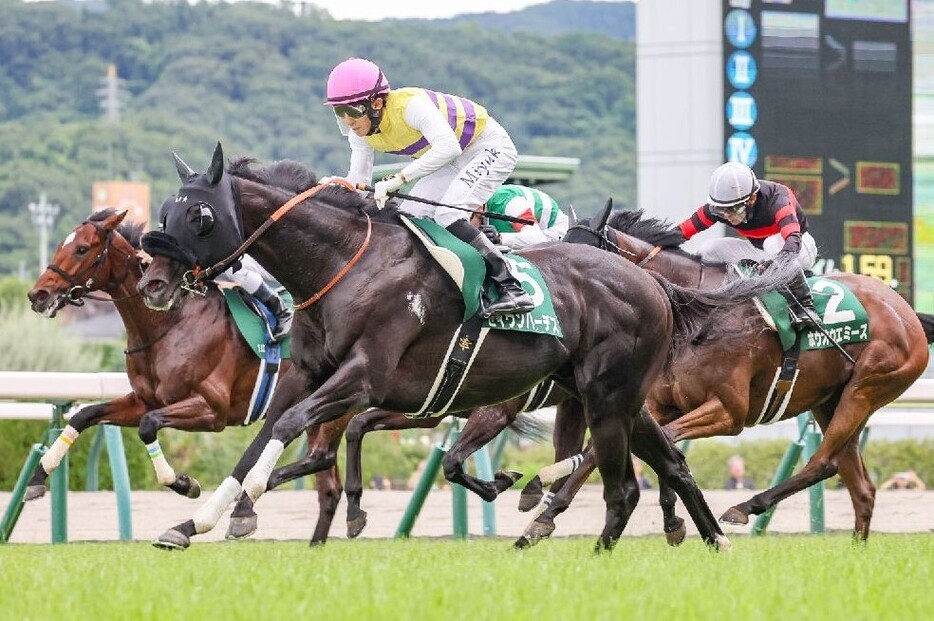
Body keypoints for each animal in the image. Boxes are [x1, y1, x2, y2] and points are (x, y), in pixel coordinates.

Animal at [27, 208, 348, 544]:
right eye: (61, 245)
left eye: (82, 249)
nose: (38, 294)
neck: (169, 322)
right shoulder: (144, 401)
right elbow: (84, 415)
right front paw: (38, 477)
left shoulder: (211, 410)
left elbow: (148, 426)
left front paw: (184, 484)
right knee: (326, 480)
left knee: (322, 458)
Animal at [137, 144, 796, 552]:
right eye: (166, 208)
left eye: (200, 216)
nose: (153, 282)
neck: (345, 265)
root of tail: (653, 283)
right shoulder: (307, 373)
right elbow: (263, 439)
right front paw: (194, 518)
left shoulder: (366, 377)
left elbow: (289, 427)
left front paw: (237, 507)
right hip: (615, 397)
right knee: (671, 462)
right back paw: (713, 537)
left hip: (610, 395)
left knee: (625, 480)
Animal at [532, 206, 934, 540]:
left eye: (584, 259)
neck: (696, 312)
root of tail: (907, 311)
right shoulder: (659, 404)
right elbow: (601, 451)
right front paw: (545, 516)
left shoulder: (730, 411)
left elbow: (663, 443)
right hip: (828, 400)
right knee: (860, 486)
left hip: (867, 387)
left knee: (824, 462)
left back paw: (745, 507)